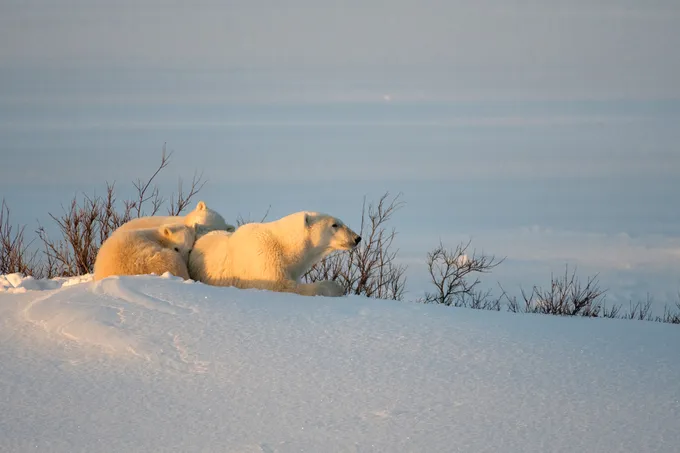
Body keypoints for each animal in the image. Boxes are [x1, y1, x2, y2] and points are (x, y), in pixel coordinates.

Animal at [188, 211, 361, 297]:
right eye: (335, 225)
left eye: (341, 222)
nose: (357, 238)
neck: (284, 245)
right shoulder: (263, 258)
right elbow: (281, 286)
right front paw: (336, 288)